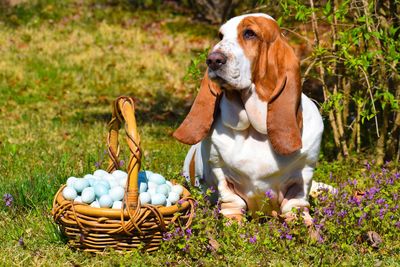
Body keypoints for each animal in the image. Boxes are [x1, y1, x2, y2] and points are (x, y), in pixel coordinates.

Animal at [173, 13, 324, 221]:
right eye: (220, 36)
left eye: (249, 33)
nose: (213, 60)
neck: (254, 130)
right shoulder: (221, 173)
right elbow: (232, 204)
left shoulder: (303, 174)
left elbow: (296, 206)